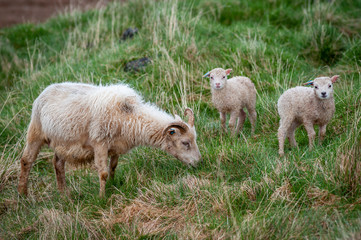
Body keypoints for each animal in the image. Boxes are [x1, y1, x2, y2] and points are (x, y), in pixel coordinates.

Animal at [18, 82, 201, 197]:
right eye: (185, 143)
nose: (199, 163)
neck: (129, 115)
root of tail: (46, 90)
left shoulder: (115, 146)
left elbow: (113, 167)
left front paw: (113, 185)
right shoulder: (99, 144)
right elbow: (103, 173)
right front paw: (101, 197)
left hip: (62, 143)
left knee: (57, 164)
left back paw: (64, 195)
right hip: (35, 132)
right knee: (26, 160)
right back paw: (23, 194)